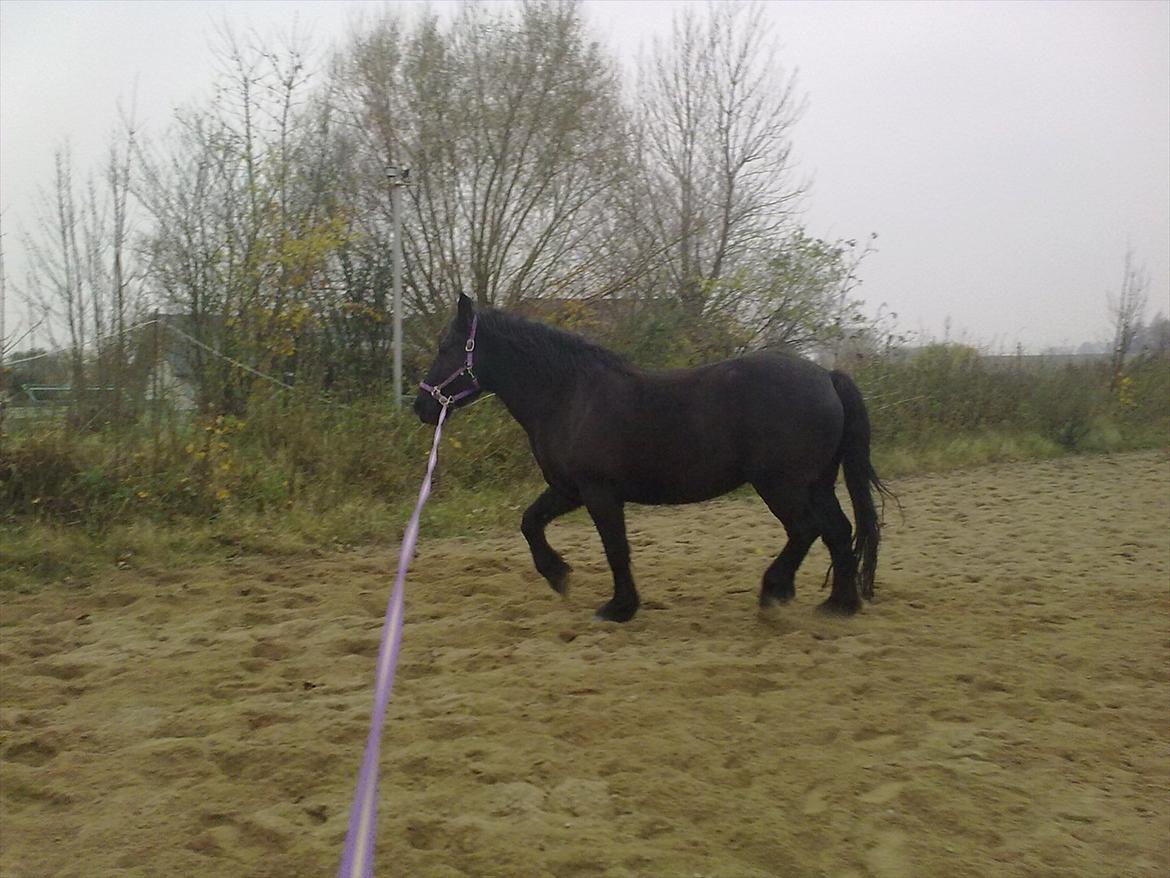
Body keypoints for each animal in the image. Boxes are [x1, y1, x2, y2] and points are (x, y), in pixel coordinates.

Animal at [414, 294, 891, 623]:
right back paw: (838, 605)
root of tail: (826, 376)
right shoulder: (568, 489)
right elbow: (530, 522)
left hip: (782, 485)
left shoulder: (599, 492)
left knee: (807, 529)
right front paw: (558, 575)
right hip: (817, 483)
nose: (420, 406)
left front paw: (619, 607)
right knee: (837, 531)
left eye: (445, 346)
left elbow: (616, 548)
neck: (569, 396)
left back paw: (775, 592)